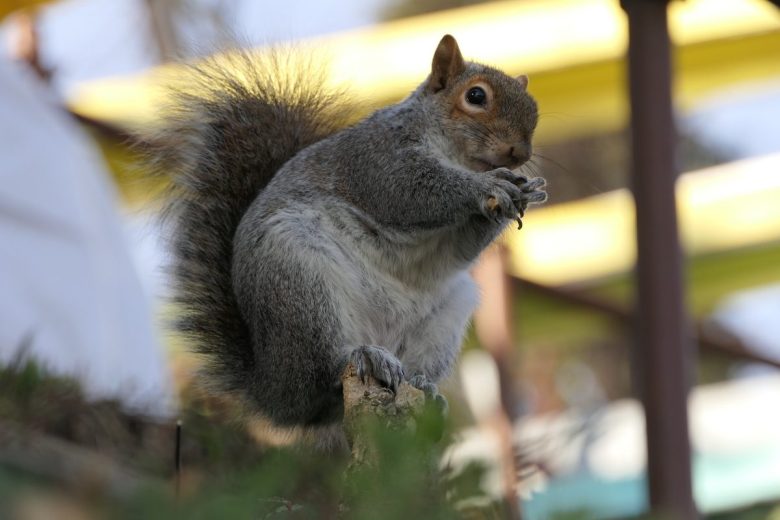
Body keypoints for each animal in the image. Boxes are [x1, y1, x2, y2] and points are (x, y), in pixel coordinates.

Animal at [151, 34, 544, 446]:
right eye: (476, 96)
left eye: (534, 108)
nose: (520, 153)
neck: (455, 155)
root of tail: (276, 394)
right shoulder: (376, 159)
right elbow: (412, 192)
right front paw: (487, 186)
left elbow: (460, 249)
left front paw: (524, 191)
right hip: (298, 279)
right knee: (324, 369)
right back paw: (365, 357)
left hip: (447, 315)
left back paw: (423, 386)